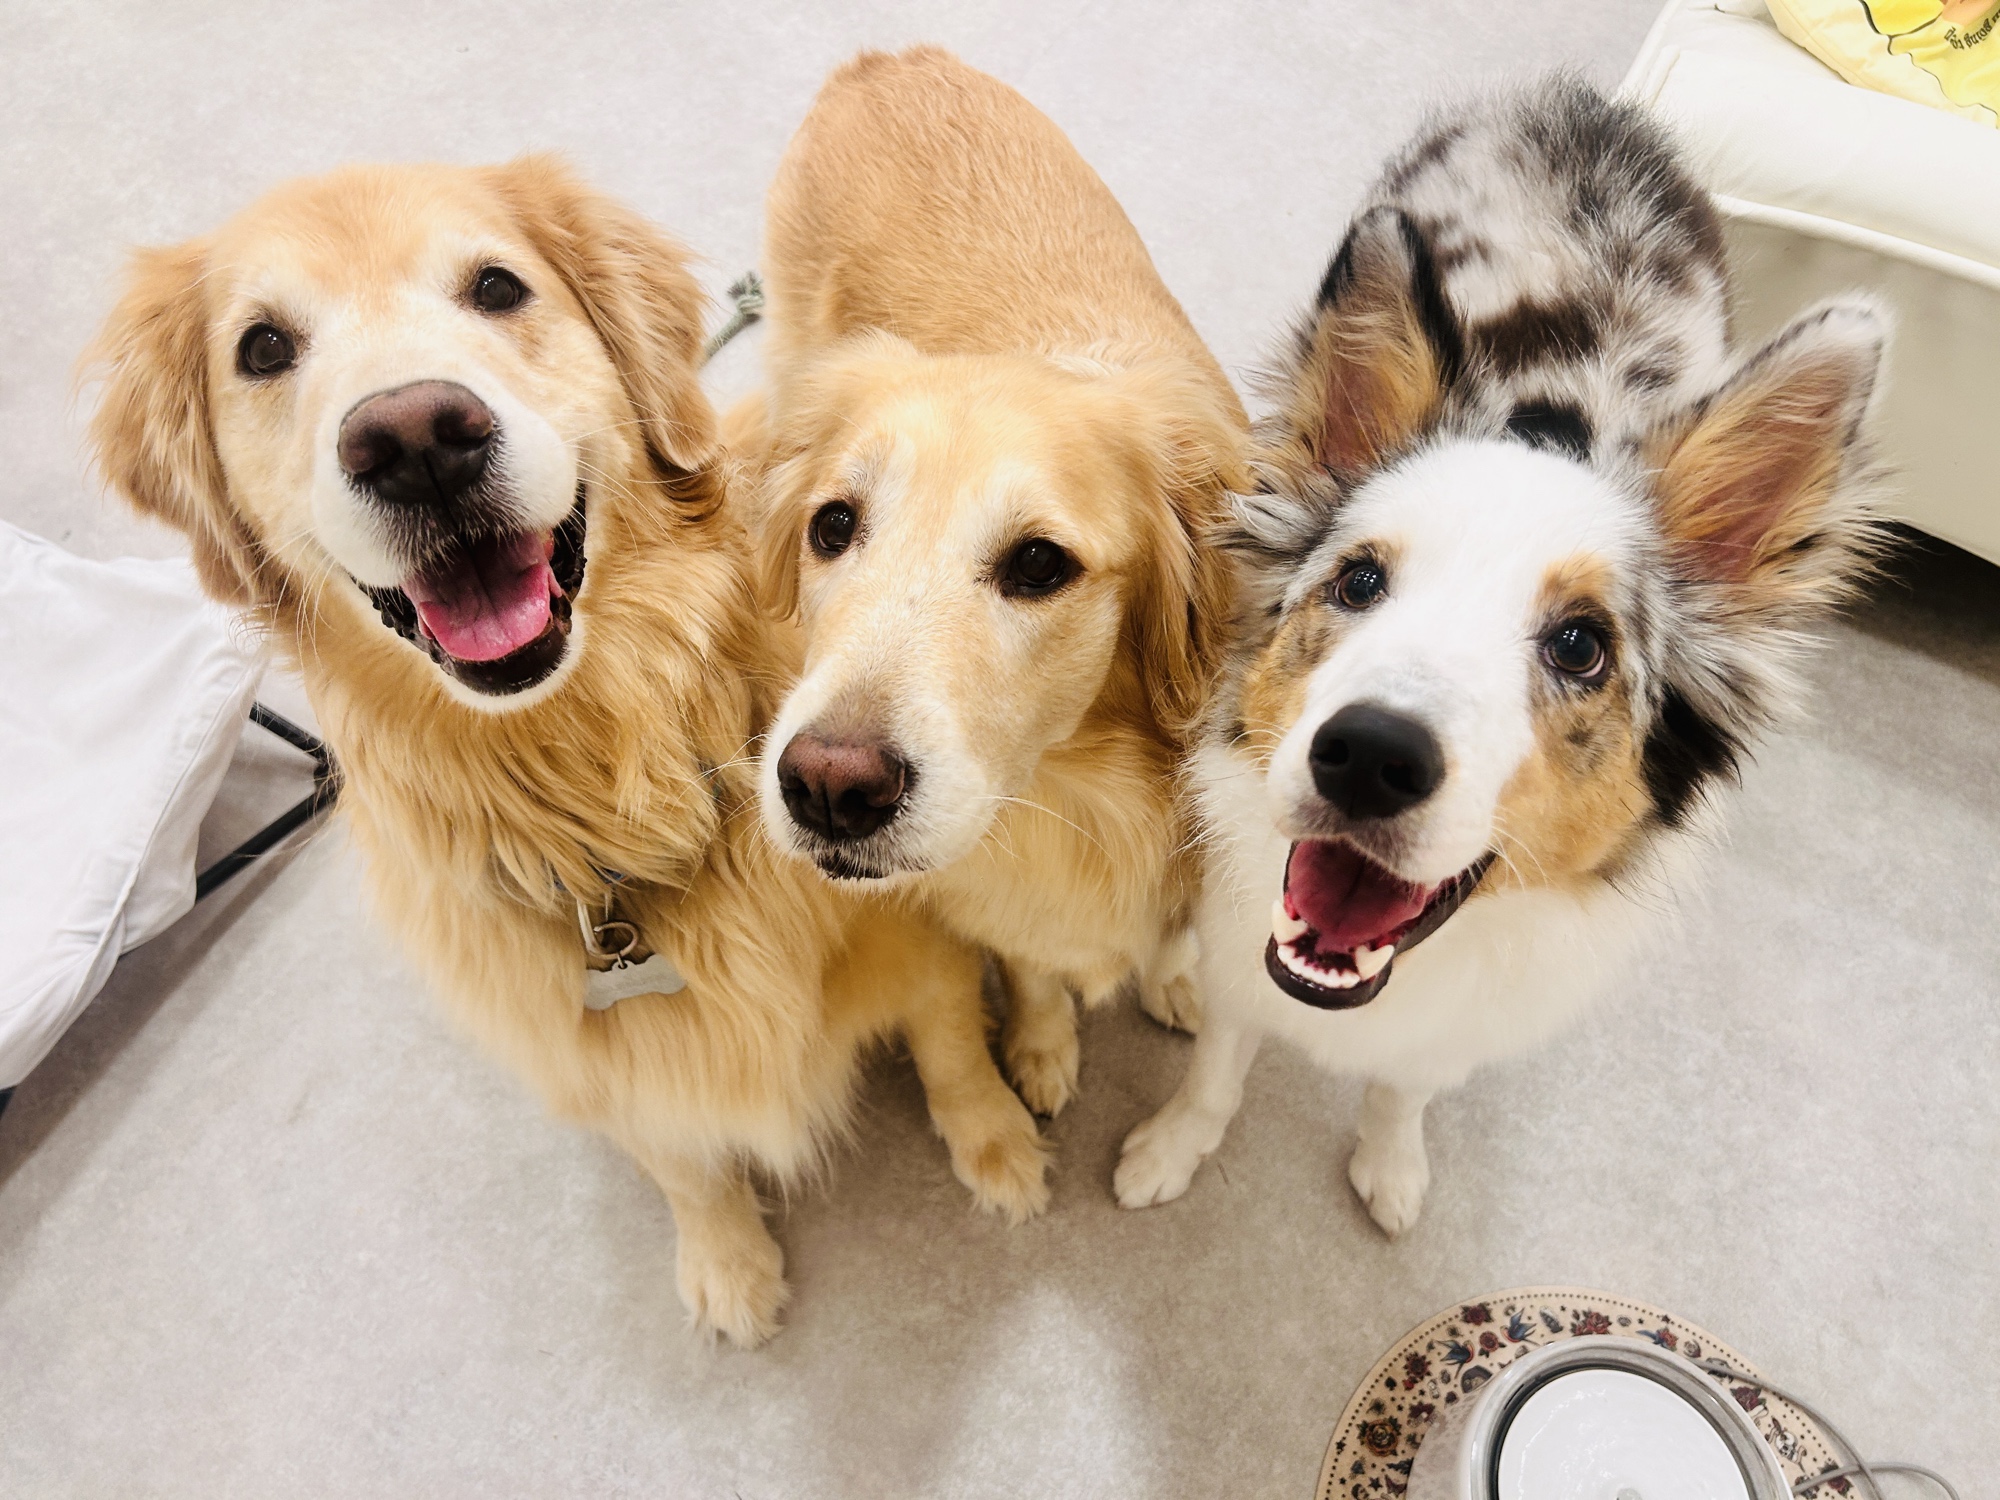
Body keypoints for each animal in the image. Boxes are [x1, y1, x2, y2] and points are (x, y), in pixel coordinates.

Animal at [84, 157, 1048, 1346]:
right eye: (262, 348)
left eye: (497, 287)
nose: (415, 438)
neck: (612, 772)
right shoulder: (597, 1053)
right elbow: (680, 1161)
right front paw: (726, 1259)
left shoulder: (918, 933)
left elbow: (951, 1043)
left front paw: (996, 1145)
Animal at [743, 48, 1249, 1115]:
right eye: (833, 526)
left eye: (1039, 564)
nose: (828, 787)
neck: (1083, 789)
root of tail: (881, 60)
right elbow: (1030, 968)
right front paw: (1043, 1043)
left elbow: (1176, 925)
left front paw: (1175, 977)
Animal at [1115, 78, 1886, 1235]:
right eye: (1358, 581)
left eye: (1580, 646)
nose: (1369, 756)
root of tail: (1589, 104)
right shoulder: (1245, 942)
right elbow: (1216, 1068)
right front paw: (1169, 1150)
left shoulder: (1455, 1026)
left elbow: (1401, 1093)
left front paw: (1391, 1167)